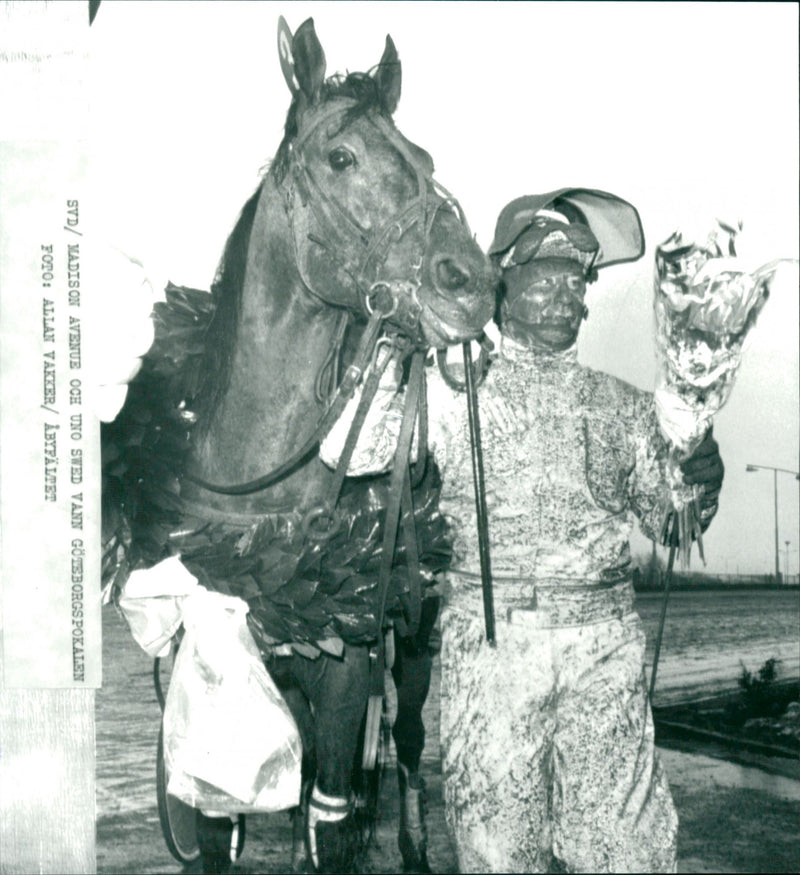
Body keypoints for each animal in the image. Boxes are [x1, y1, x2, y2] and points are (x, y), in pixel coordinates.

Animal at [103, 18, 496, 875]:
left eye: (424, 159)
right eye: (341, 157)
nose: (474, 282)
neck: (263, 509)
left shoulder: (346, 672)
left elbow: (332, 818)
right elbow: (222, 823)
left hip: (412, 648)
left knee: (406, 743)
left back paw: (415, 845)